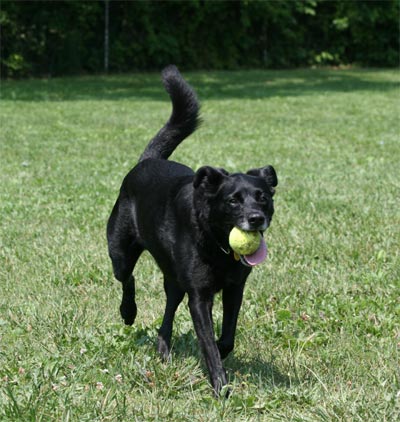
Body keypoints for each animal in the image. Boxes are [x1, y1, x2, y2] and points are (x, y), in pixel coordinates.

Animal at [106, 64, 276, 394]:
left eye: (263, 197)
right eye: (233, 200)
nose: (255, 218)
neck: (218, 244)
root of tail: (147, 161)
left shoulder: (235, 288)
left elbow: (226, 336)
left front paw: (220, 354)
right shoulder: (200, 297)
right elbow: (208, 341)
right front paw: (220, 386)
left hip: (174, 277)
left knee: (169, 306)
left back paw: (163, 348)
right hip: (120, 252)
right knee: (127, 278)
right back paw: (128, 313)